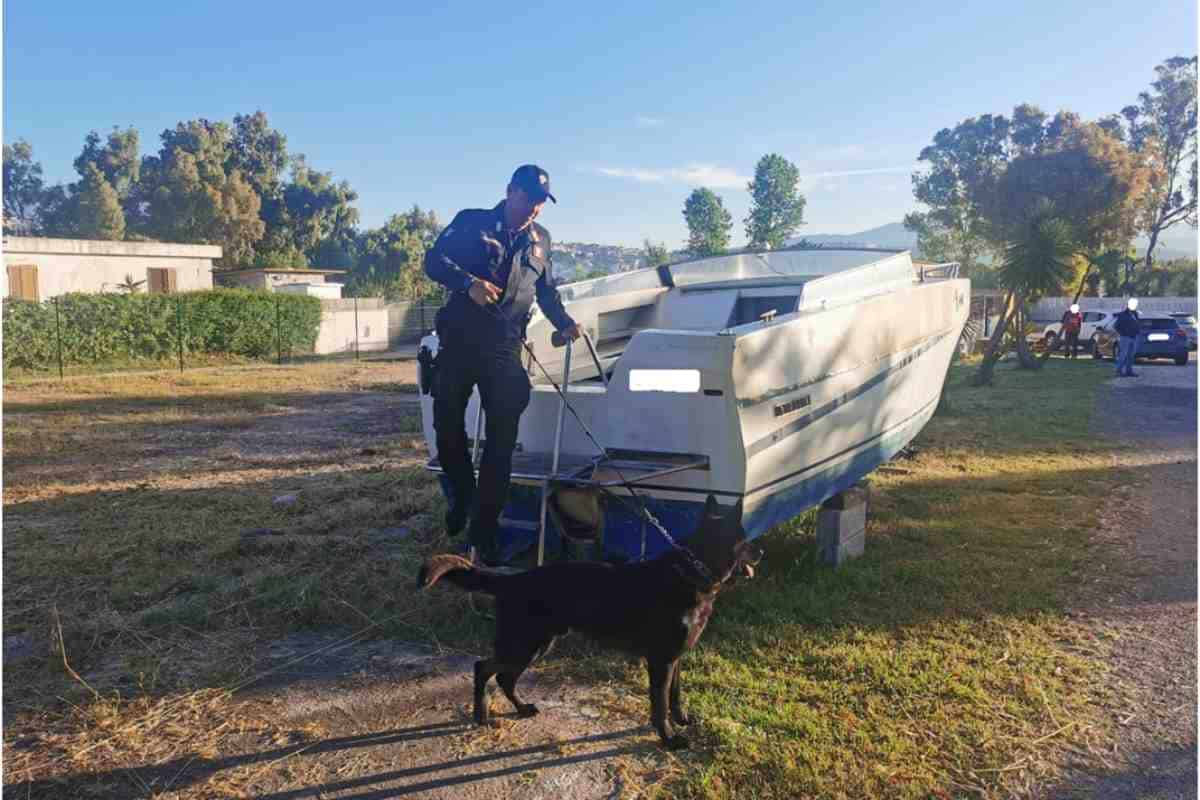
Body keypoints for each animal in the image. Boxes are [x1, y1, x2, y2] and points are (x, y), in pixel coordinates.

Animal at [417, 494, 763, 753]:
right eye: (745, 539)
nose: (760, 551)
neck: (692, 571)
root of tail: (512, 580)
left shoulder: (675, 659)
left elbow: (675, 696)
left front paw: (681, 720)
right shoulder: (661, 661)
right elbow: (659, 704)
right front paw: (668, 737)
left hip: (537, 644)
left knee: (503, 677)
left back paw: (521, 708)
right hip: (524, 643)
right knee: (483, 669)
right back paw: (482, 716)